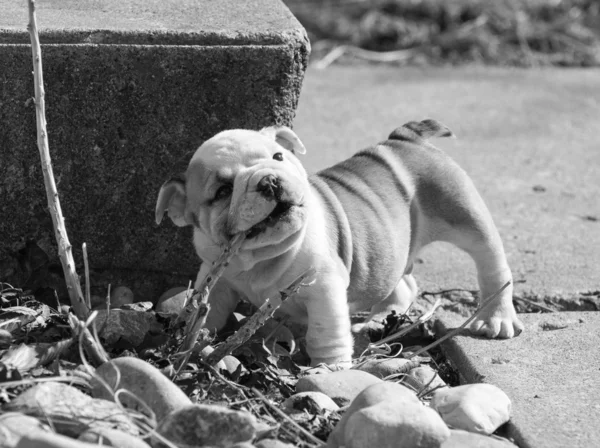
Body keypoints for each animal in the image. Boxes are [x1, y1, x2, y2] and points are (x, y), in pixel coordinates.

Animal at [156, 121, 524, 366]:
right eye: (222, 191)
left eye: (278, 157)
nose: (269, 180)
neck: (261, 256)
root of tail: (404, 139)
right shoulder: (215, 279)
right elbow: (208, 310)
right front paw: (189, 342)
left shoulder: (323, 287)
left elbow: (325, 331)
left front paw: (330, 368)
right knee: (403, 283)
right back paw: (380, 318)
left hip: (463, 214)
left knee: (491, 262)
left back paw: (496, 317)